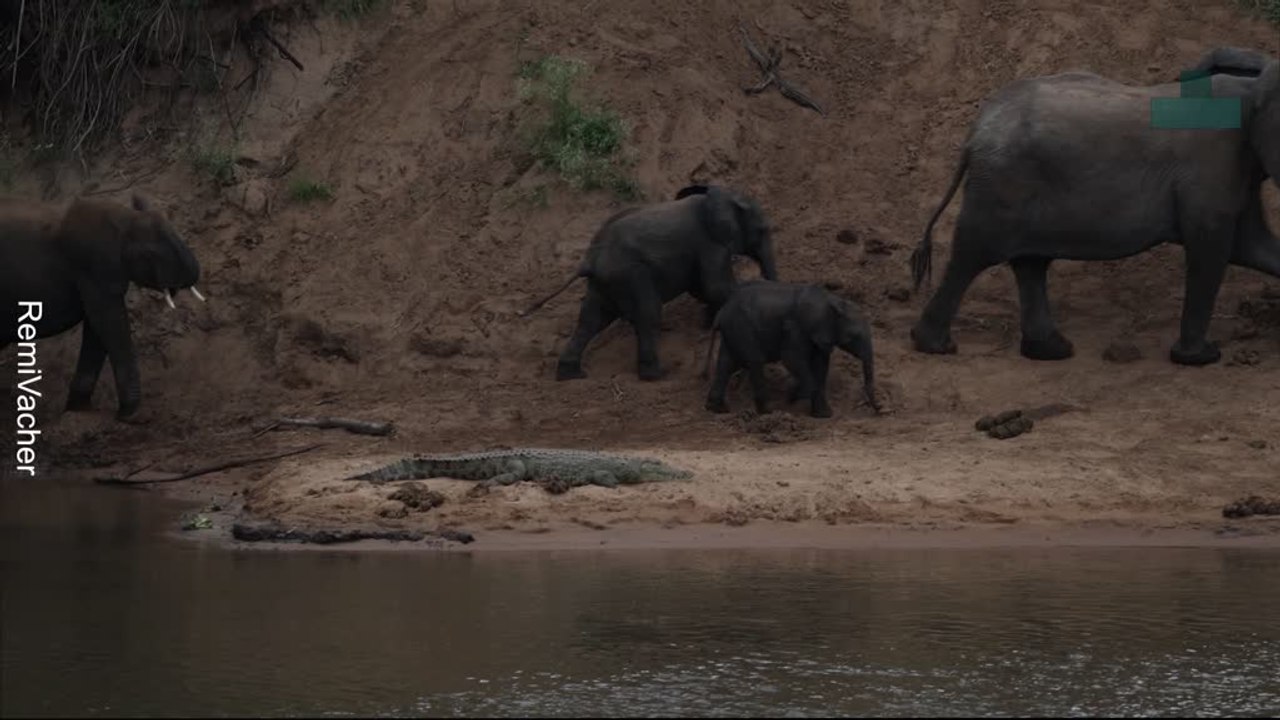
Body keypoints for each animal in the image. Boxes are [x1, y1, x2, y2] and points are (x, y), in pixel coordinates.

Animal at [1, 193, 203, 419]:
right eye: (149, 254)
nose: (120, 414)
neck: (125, 218)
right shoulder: (93, 265)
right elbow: (109, 323)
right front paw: (125, 415)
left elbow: (97, 329)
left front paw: (80, 411)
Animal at [521, 184, 778, 381]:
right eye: (762, 230)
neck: (726, 195)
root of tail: (590, 260)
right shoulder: (710, 243)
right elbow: (715, 286)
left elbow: (702, 288)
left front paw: (707, 320)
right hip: (632, 274)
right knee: (648, 314)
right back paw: (656, 375)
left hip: (605, 283)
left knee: (591, 320)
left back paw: (571, 376)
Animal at [703, 279, 881, 418]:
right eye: (854, 336)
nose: (880, 408)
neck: (832, 301)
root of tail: (721, 312)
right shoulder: (796, 328)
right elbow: (792, 359)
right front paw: (792, 397)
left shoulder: (821, 334)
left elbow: (821, 365)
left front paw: (823, 415)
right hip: (742, 328)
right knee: (754, 361)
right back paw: (768, 411)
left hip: (733, 331)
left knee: (726, 364)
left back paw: (717, 409)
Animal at [908, 52, 1280, 367]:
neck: (1253, 88)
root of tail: (974, 131)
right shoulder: (1213, 163)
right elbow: (1212, 245)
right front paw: (1202, 358)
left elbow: (1250, 244)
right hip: (1003, 184)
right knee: (974, 253)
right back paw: (934, 345)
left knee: (1030, 262)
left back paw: (1051, 351)